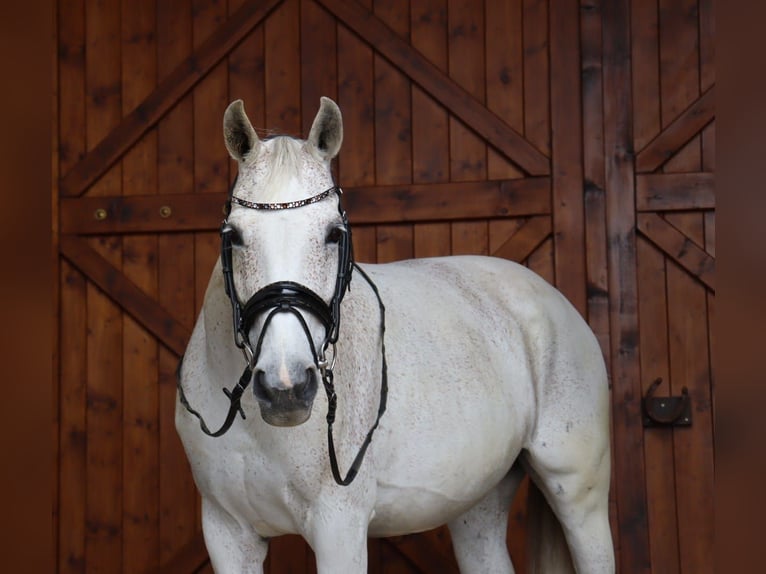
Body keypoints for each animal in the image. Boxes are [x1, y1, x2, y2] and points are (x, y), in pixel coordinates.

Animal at [177, 97, 616, 572]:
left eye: (334, 234)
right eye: (235, 235)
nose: (286, 388)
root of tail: (553, 301)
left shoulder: (338, 527)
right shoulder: (227, 533)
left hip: (579, 498)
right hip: (479, 503)